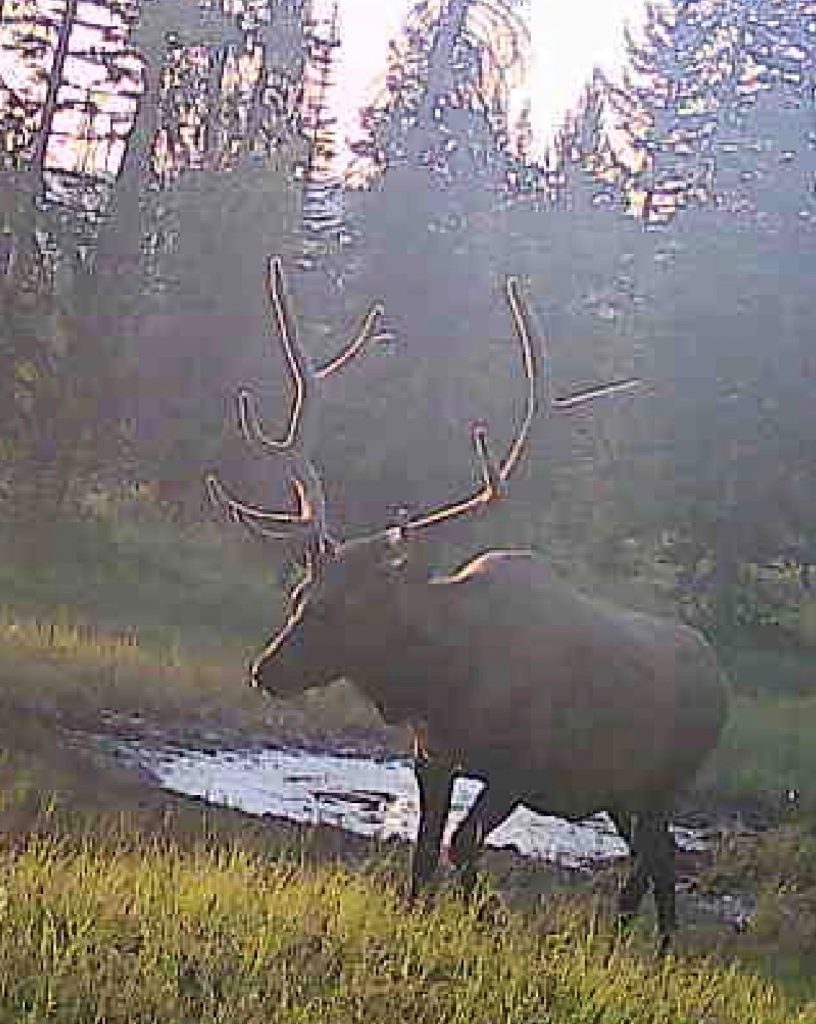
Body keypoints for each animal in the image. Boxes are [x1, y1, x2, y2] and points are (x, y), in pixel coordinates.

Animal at [207, 257, 728, 955]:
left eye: (351, 607)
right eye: (300, 593)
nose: (266, 670)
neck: (443, 682)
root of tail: (722, 680)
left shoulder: (518, 768)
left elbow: (462, 844)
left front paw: (484, 919)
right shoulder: (432, 756)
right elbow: (426, 853)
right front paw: (423, 916)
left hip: (669, 781)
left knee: (655, 860)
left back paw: (644, 946)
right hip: (624, 793)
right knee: (658, 858)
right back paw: (642, 944)